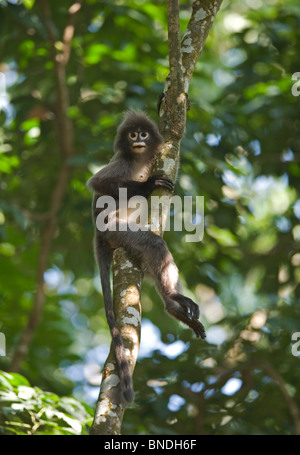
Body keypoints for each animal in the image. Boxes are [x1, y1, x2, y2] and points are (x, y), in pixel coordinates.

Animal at [85, 110, 205, 402]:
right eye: (132, 135)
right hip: (116, 228)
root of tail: (98, 234)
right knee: (153, 242)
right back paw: (174, 298)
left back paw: (174, 306)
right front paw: (150, 183)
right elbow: (98, 183)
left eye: (143, 134)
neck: (138, 158)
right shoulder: (120, 163)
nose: (138, 139)